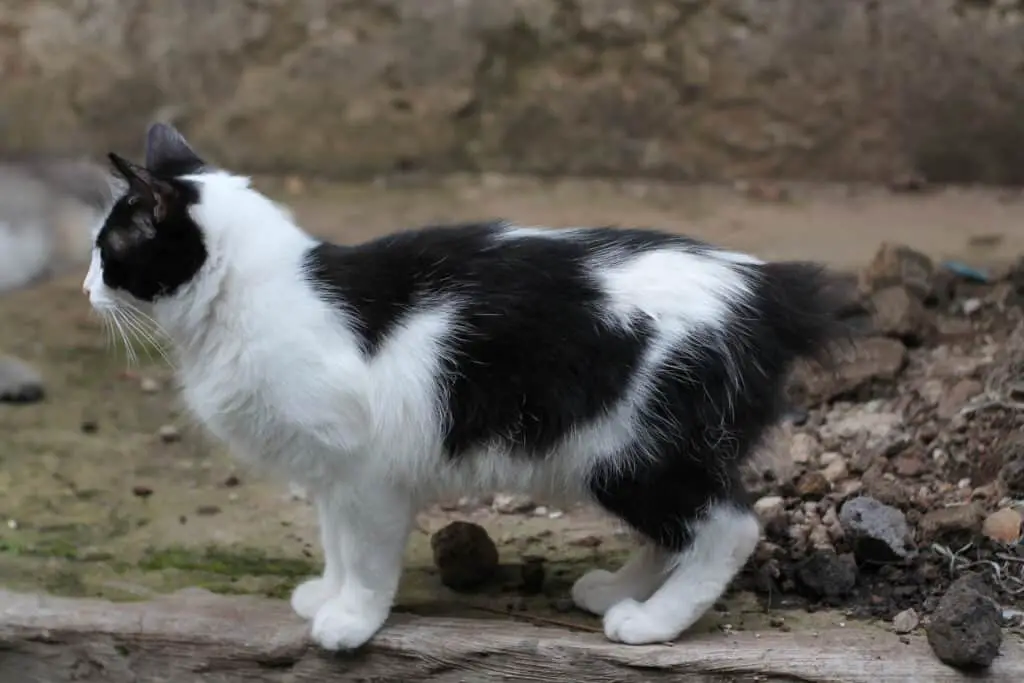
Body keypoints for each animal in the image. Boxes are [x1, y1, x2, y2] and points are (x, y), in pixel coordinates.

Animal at [81, 122, 847, 651]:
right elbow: (335, 540)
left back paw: (653, 622)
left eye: (111, 251)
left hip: (635, 449)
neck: (258, 297)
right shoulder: (332, 470)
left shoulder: (369, 474)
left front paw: (352, 620)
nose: (85, 288)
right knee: (676, 532)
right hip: (624, 452)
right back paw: (616, 590)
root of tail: (765, 289)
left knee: (726, 527)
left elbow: (367, 554)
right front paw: (327, 594)